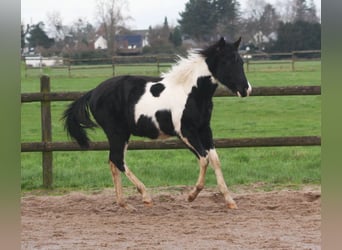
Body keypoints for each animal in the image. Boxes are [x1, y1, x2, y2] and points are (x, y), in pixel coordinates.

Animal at [63, 36, 251, 209]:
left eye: (241, 62)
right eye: (227, 62)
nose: (246, 89)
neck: (191, 92)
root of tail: (93, 92)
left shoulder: (204, 129)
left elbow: (215, 160)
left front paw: (229, 201)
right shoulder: (186, 132)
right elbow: (204, 159)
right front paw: (192, 195)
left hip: (121, 134)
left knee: (114, 161)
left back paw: (124, 203)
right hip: (117, 132)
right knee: (117, 160)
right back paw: (145, 196)